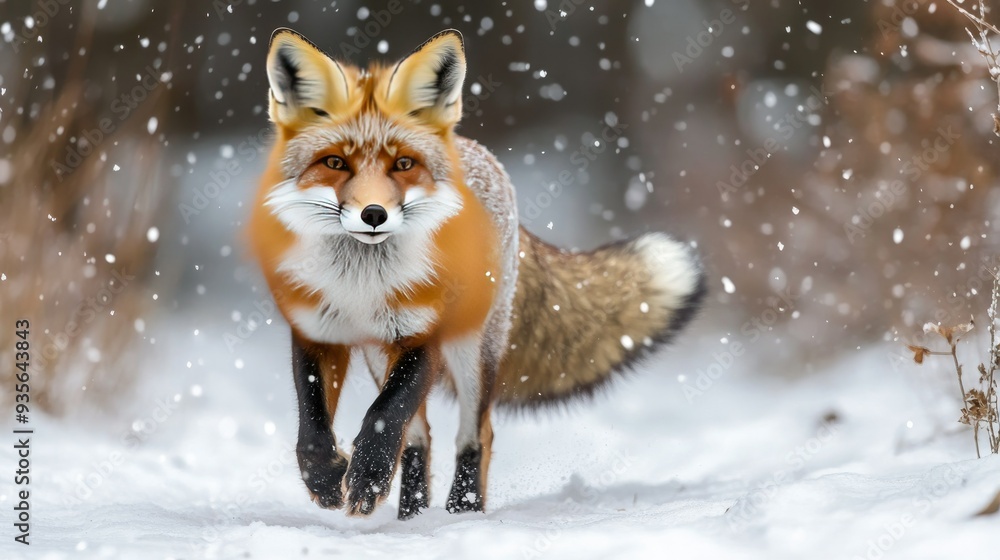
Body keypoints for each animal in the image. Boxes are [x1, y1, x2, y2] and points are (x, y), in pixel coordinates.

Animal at [248, 28, 707, 519]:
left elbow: (383, 417)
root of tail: (483, 156)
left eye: (403, 165)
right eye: (334, 163)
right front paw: (328, 478)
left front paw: (366, 478)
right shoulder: (316, 332)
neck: (362, 284)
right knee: (419, 438)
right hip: (377, 352)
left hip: (472, 349)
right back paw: (412, 517)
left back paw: (461, 511)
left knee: (475, 434)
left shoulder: (423, 335)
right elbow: (314, 427)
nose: (374, 214)